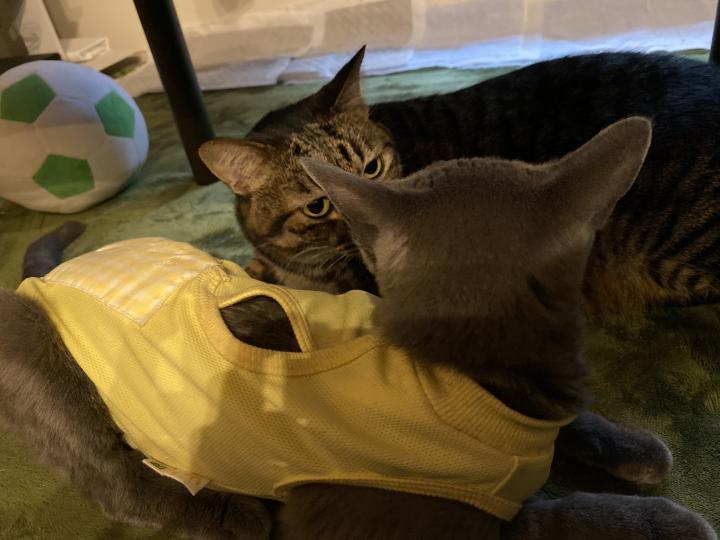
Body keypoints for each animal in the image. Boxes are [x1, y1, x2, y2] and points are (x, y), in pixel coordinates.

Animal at [0, 118, 713, 540]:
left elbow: (573, 424)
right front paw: (664, 521)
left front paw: (632, 446)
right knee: (117, 482)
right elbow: (552, 517)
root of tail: (53, 271)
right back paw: (232, 514)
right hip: (43, 361)